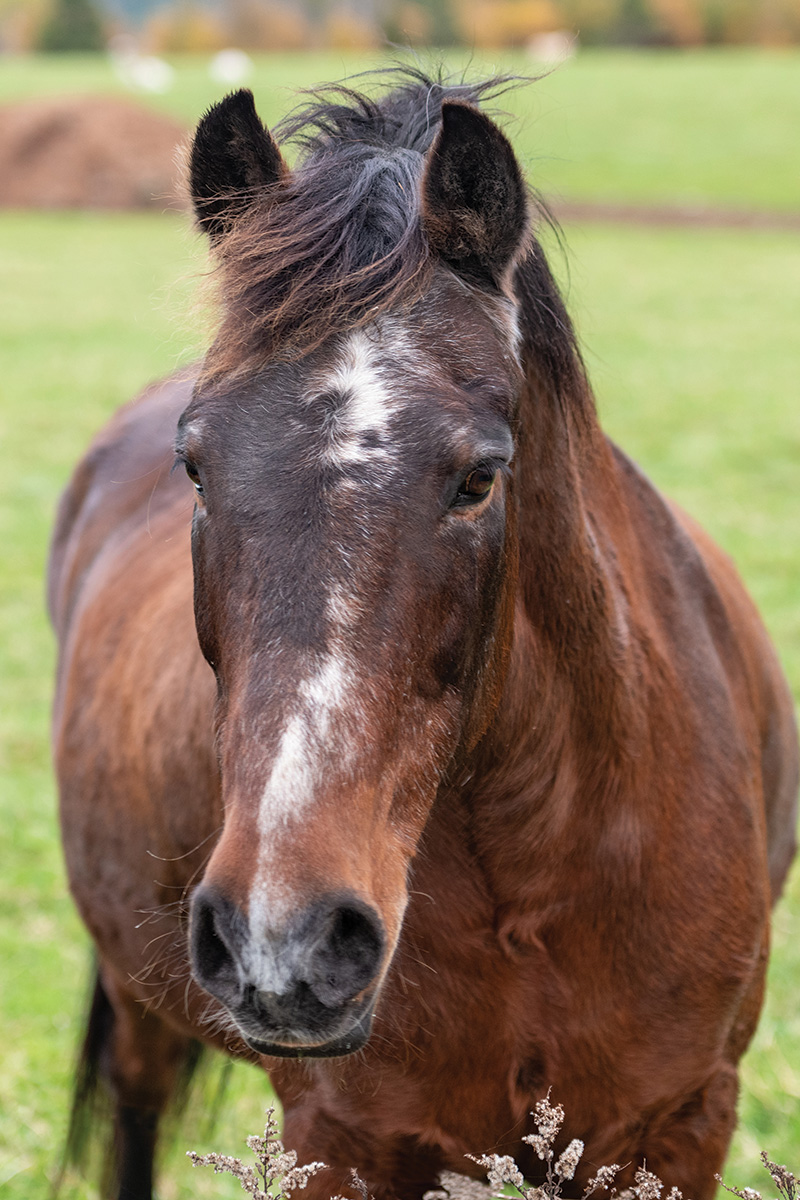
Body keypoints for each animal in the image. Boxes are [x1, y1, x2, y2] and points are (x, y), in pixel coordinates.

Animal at [50, 72, 796, 1200]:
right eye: (196, 466)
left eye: (479, 477)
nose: (285, 938)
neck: (539, 866)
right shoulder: (345, 1139)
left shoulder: (673, 1126)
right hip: (142, 1008)